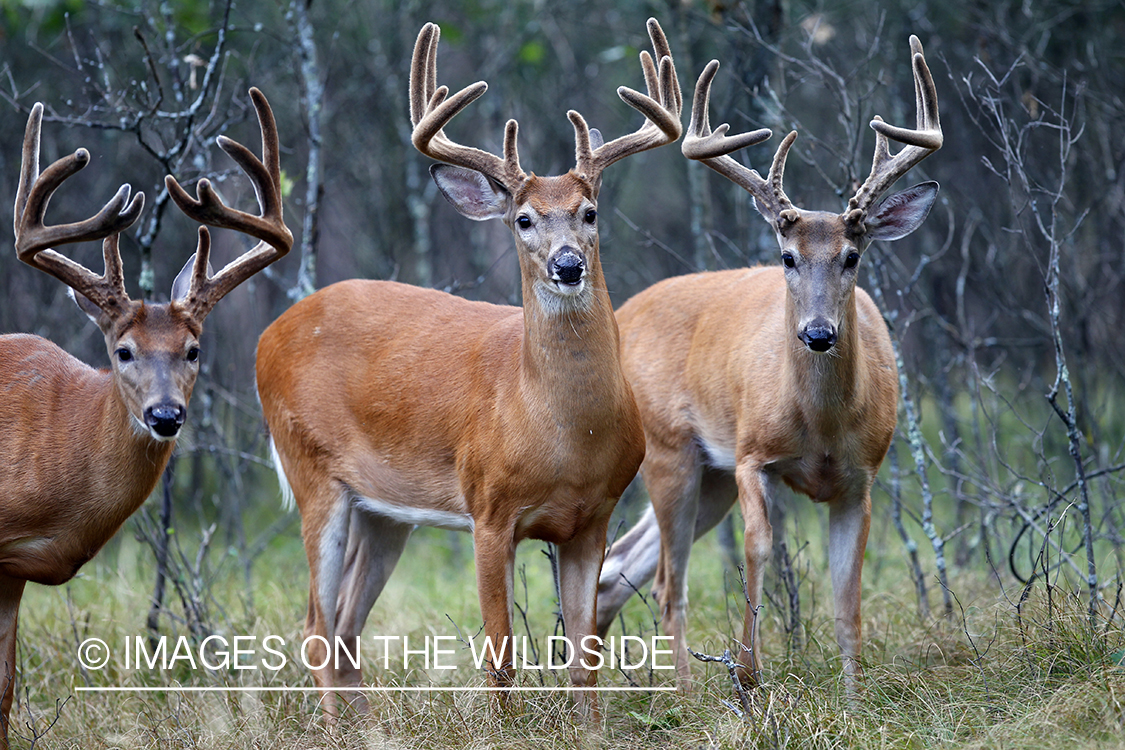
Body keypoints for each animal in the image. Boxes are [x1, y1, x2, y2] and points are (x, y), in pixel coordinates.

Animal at [254, 19, 675, 719]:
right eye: (523, 219)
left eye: (588, 213)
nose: (567, 264)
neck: (562, 435)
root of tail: (268, 335)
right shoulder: (488, 506)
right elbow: (500, 656)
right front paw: (505, 726)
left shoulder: (592, 517)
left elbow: (585, 659)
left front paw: (590, 729)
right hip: (312, 470)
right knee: (315, 624)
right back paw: (336, 727)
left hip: (384, 509)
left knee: (345, 621)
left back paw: (364, 726)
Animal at [598, 35, 940, 692]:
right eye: (786, 256)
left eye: (853, 256)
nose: (817, 333)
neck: (823, 425)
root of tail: (622, 314)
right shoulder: (751, 452)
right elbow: (758, 550)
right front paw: (749, 676)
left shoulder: (861, 476)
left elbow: (847, 591)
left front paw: (854, 696)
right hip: (671, 451)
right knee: (667, 581)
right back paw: (684, 692)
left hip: (706, 477)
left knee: (619, 567)